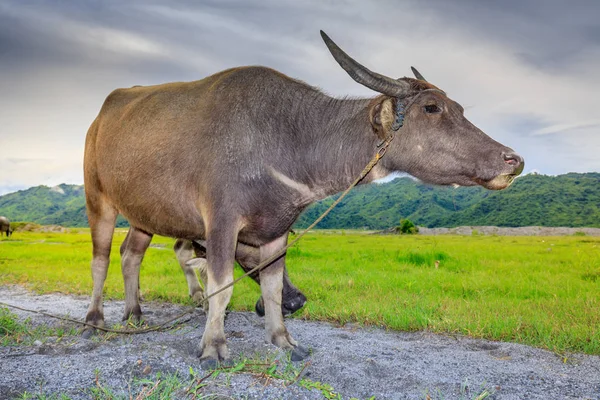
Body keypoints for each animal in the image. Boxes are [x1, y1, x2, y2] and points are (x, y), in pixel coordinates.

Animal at [82, 29, 524, 364]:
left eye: (459, 107)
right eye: (431, 108)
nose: (513, 160)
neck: (287, 139)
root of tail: (98, 118)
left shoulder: (277, 229)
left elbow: (273, 288)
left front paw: (284, 341)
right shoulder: (220, 222)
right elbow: (220, 285)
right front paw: (213, 348)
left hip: (144, 214)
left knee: (130, 254)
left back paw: (134, 313)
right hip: (97, 198)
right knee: (101, 259)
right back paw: (94, 320)